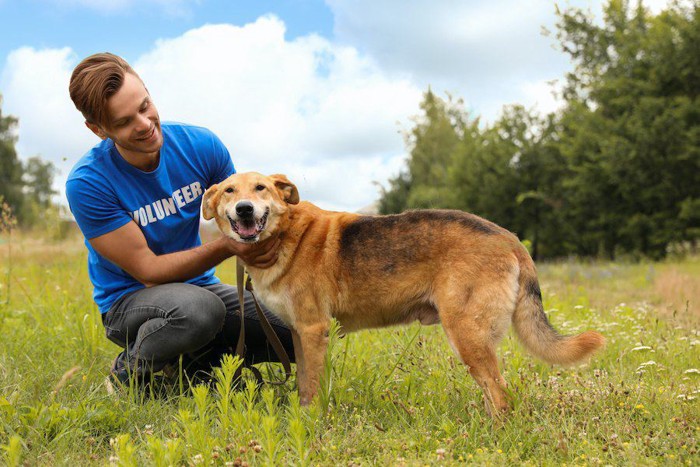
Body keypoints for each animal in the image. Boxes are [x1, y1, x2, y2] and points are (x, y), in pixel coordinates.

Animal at [202, 172, 608, 416]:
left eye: (261, 188)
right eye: (229, 191)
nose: (244, 209)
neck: (286, 235)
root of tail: (510, 238)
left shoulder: (314, 330)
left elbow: (313, 389)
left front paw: (312, 424)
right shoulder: (301, 335)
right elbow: (306, 384)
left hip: (467, 337)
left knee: (501, 397)